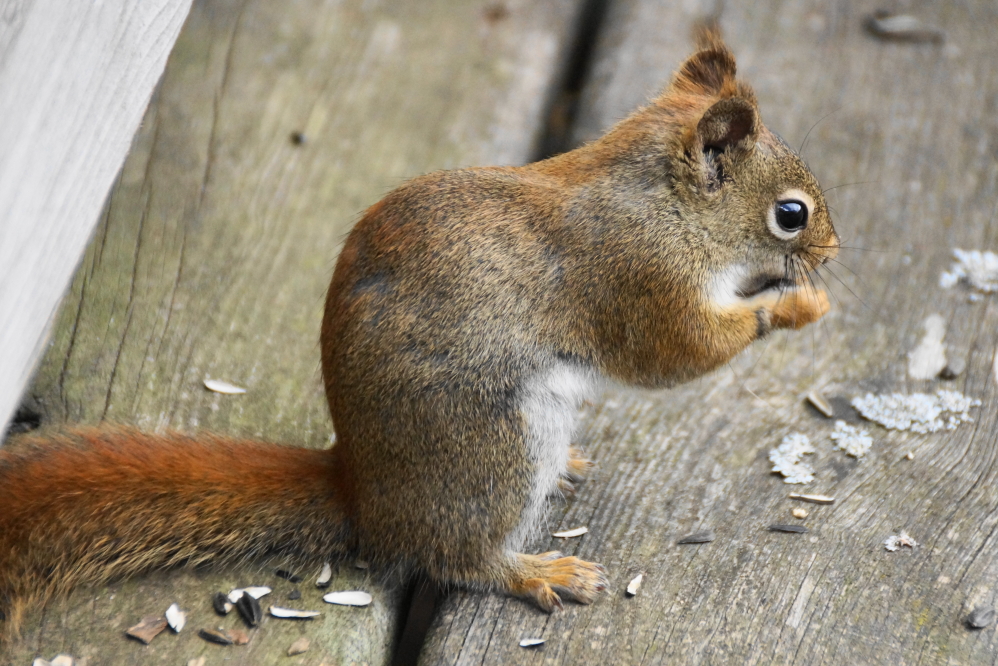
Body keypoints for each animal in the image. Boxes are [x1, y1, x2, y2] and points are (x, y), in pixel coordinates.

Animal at [0, 30, 837, 635]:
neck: (664, 203)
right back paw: (537, 572)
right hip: (493, 447)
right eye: (789, 214)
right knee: (456, 557)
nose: (832, 250)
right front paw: (794, 307)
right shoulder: (638, 280)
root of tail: (365, 495)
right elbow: (680, 352)